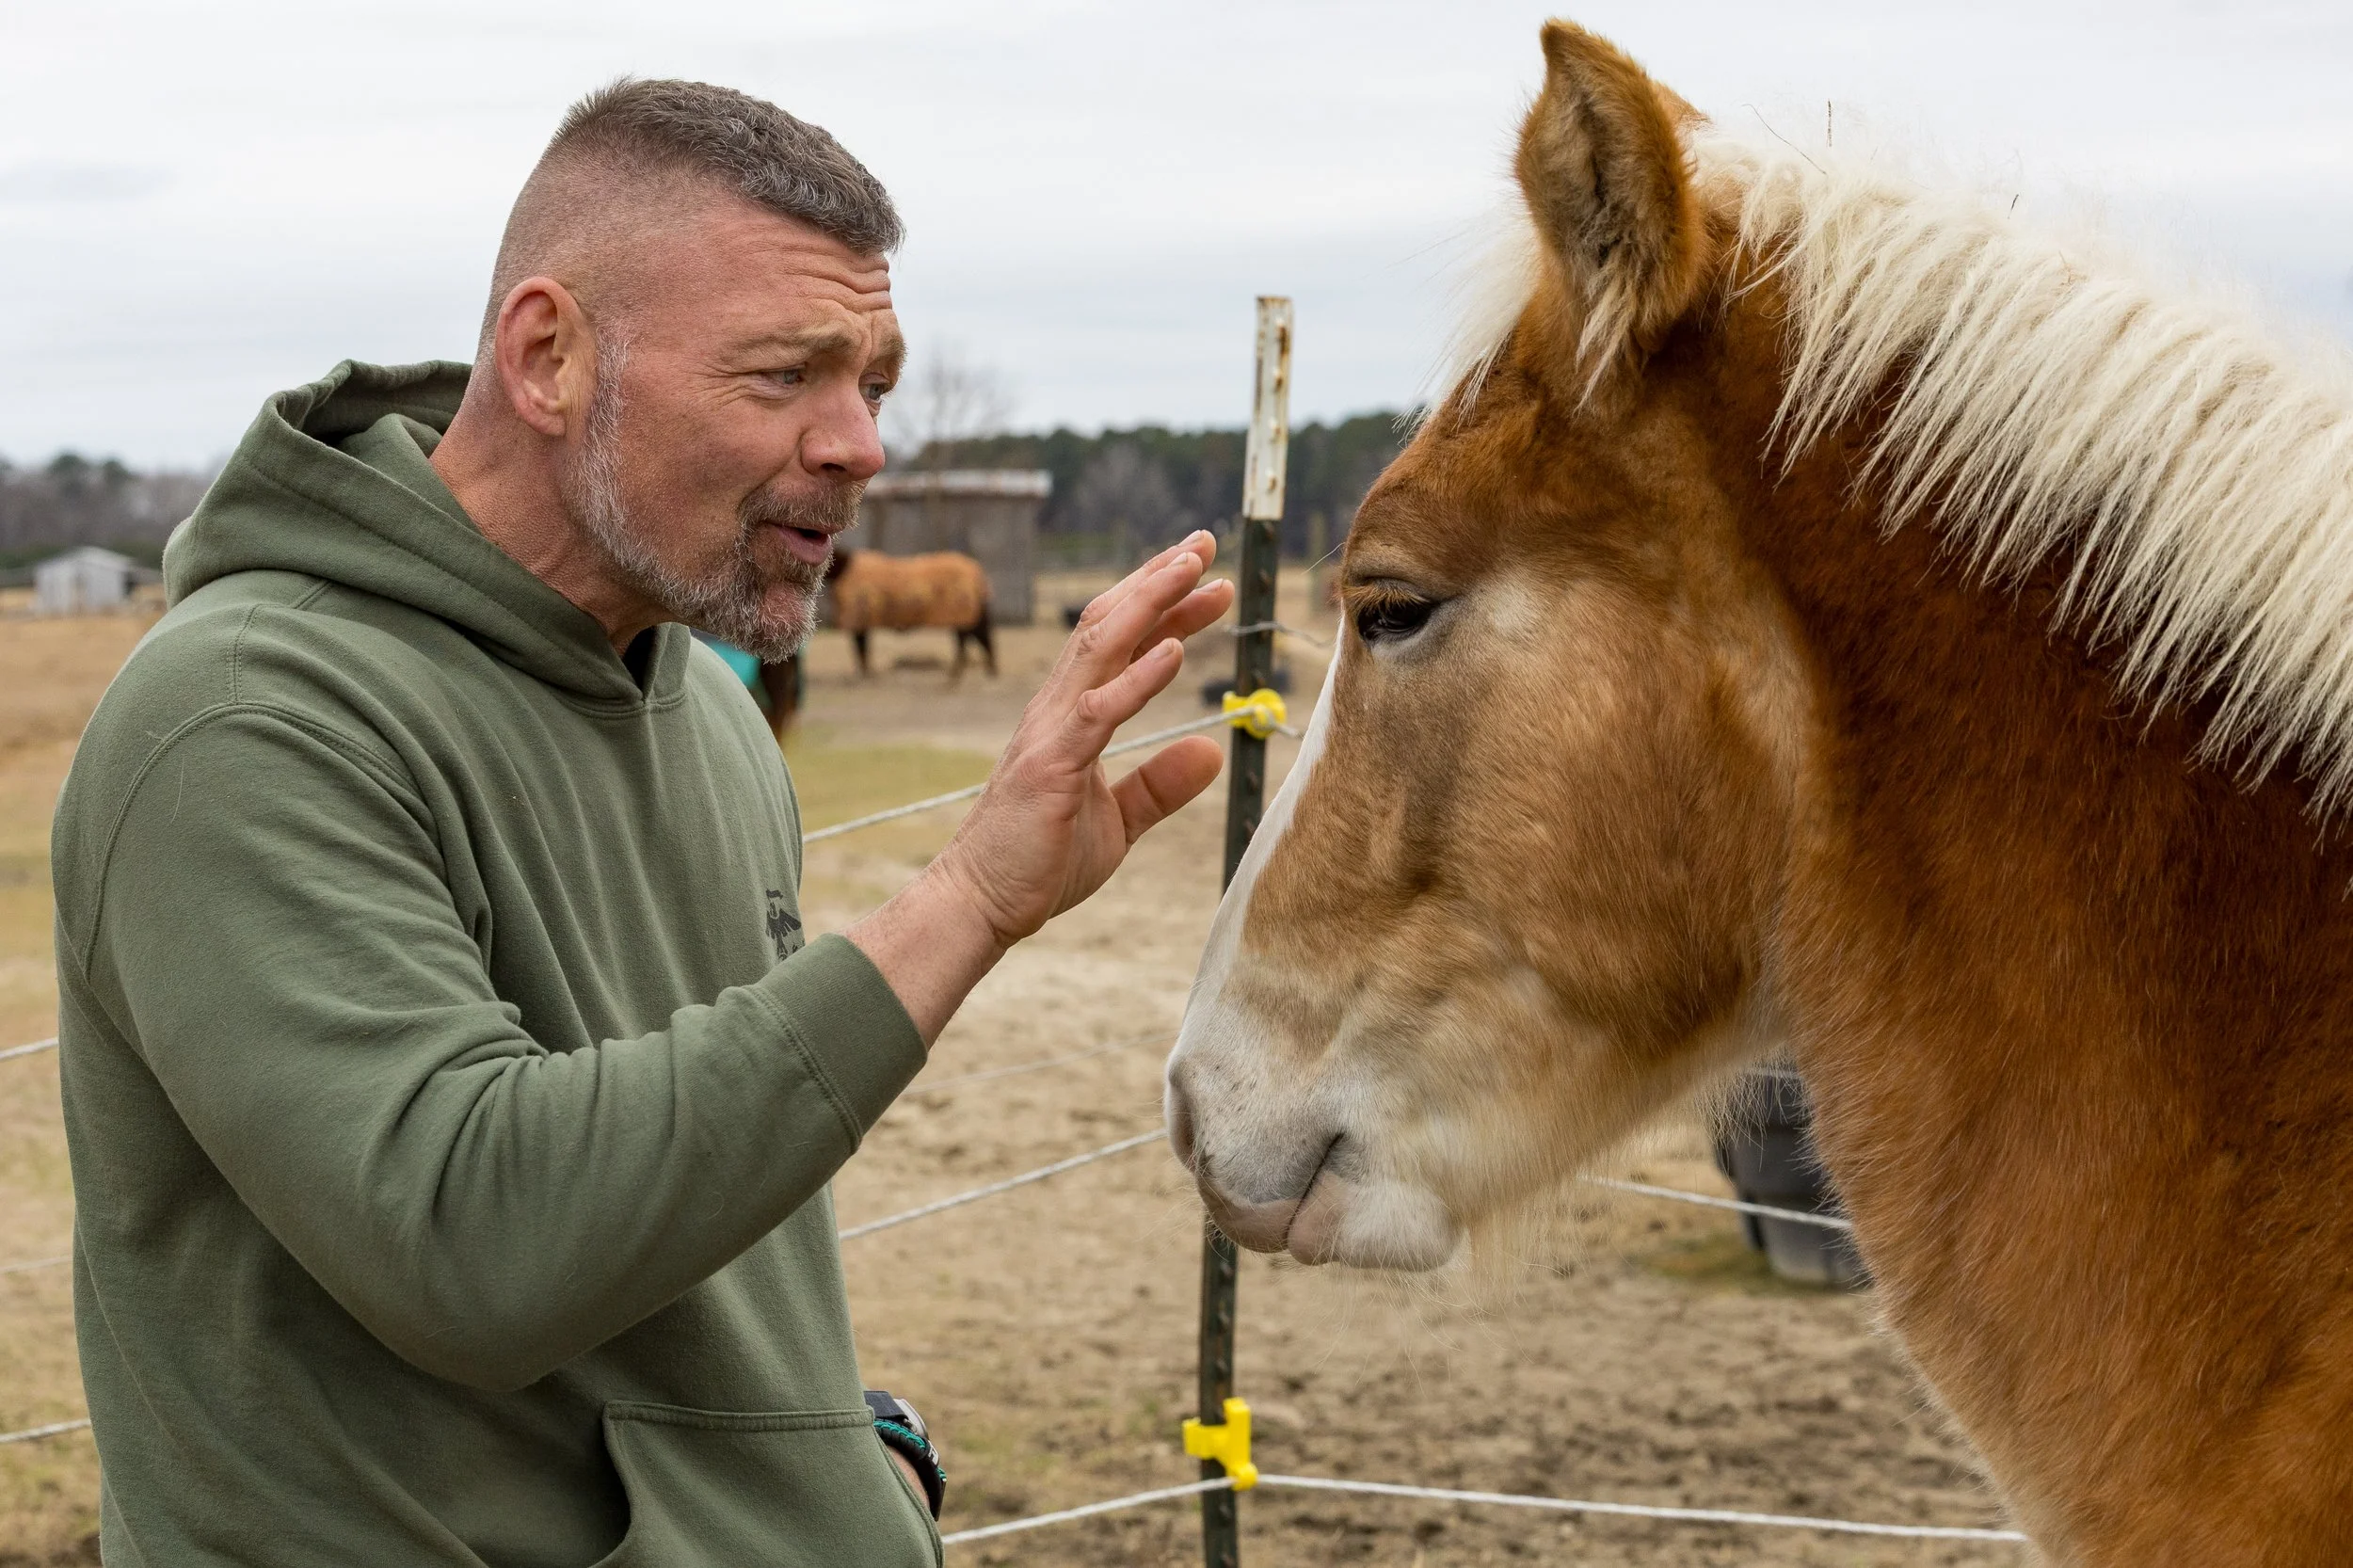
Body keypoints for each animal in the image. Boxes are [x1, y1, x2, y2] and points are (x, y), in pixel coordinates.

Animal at [825, 546, 996, 678]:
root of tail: (977, 574)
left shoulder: (859, 618)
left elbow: (861, 649)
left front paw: (865, 673)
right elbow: (862, 649)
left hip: (963, 615)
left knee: (968, 643)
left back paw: (959, 674)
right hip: (974, 615)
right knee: (982, 638)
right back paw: (988, 671)